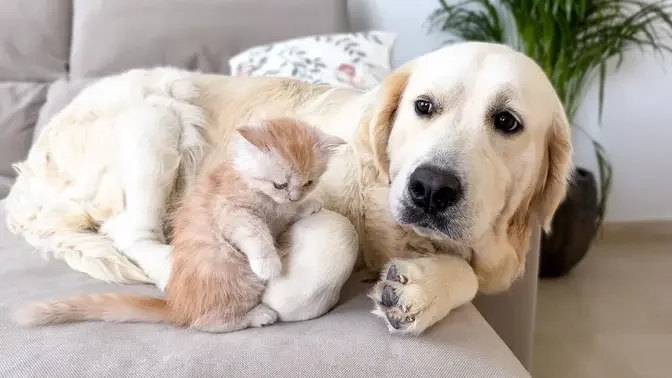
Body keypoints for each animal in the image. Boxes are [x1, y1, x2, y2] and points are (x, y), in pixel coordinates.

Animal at [14, 118, 346, 334]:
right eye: (280, 184)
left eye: (308, 183)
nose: (294, 195)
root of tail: (176, 306)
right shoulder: (234, 214)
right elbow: (256, 236)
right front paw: (269, 263)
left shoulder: (276, 214)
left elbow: (285, 216)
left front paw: (306, 206)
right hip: (233, 277)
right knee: (208, 323)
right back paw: (258, 315)